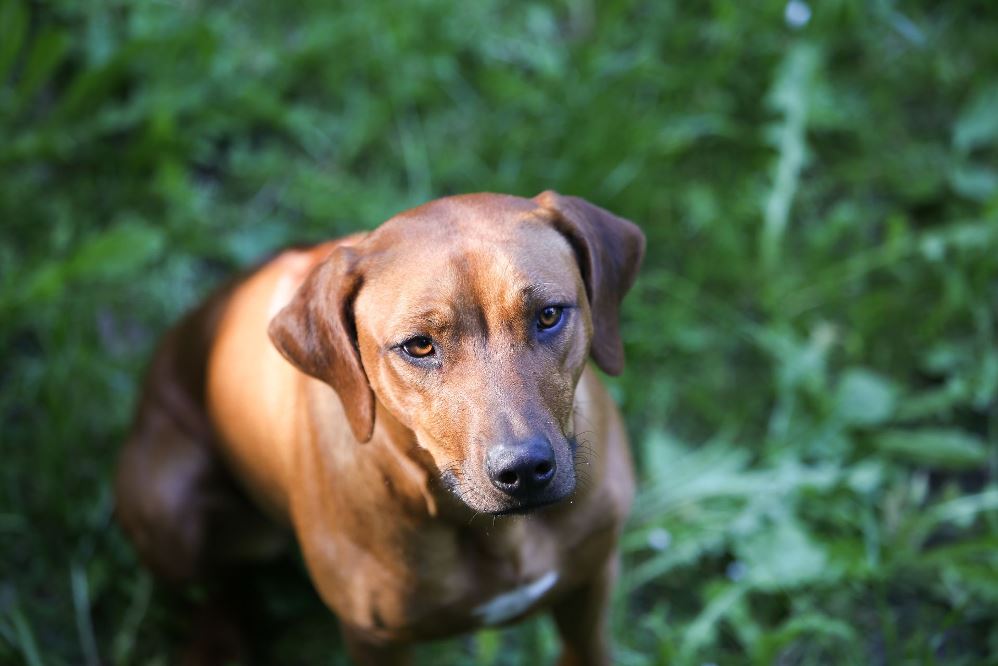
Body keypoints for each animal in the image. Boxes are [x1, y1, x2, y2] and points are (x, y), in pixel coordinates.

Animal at [115, 191, 645, 665]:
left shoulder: (591, 581)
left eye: (549, 314)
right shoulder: (373, 639)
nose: (524, 471)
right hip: (168, 512)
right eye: (419, 345)